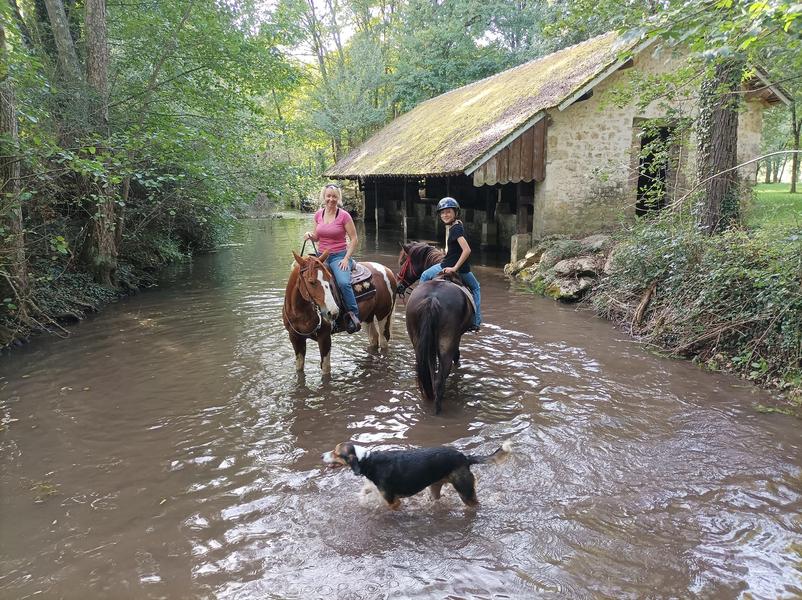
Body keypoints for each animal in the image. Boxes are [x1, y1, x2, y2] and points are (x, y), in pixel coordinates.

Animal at [320, 438, 512, 508]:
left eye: (336, 453)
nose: (321, 455)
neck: (367, 461)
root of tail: (465, 457)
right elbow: (363, 493)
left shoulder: (393, 501)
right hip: (434, 488)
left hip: (466, 492)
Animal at [396, 240, 472, 412]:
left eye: (403, 262)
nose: (398, 287)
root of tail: (432, 298)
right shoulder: (457, 338)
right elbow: (457, 356)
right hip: (446, 343)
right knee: (440, 379)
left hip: (418, 341)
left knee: (429, 373)